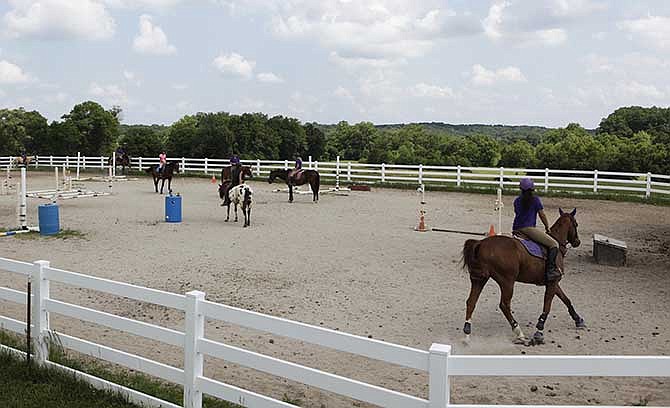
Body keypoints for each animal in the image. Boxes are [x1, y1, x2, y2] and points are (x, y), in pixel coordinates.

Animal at [464, 209, 584, 346]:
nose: (577, 242)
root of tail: (482, 243)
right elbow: (547, 307)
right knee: (504, 305)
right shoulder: (553, 282)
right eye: (576, 224)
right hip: (507, 282)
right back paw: (519, 333)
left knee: (471, 302)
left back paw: (467, 334)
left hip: (479, 279)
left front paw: (578, 319)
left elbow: (566, 300)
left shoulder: (553, 283)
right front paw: (539, 332)